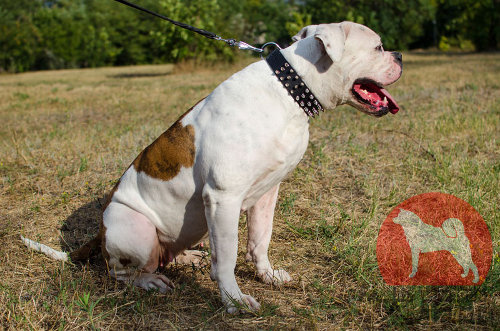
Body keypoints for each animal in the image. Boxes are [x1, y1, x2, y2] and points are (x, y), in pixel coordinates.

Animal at [21, 21, 402, 314]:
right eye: (378, 47)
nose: (399, 55)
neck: (288, 89)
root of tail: (98, 234)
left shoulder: (268, 193)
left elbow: (260, 240)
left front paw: (267, 276)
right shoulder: (223, 198)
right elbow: (228, 256)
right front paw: (233, 300)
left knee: (166, 254)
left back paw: (188, 258)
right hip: (134, 228)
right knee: (120, 273)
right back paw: (150, 281)